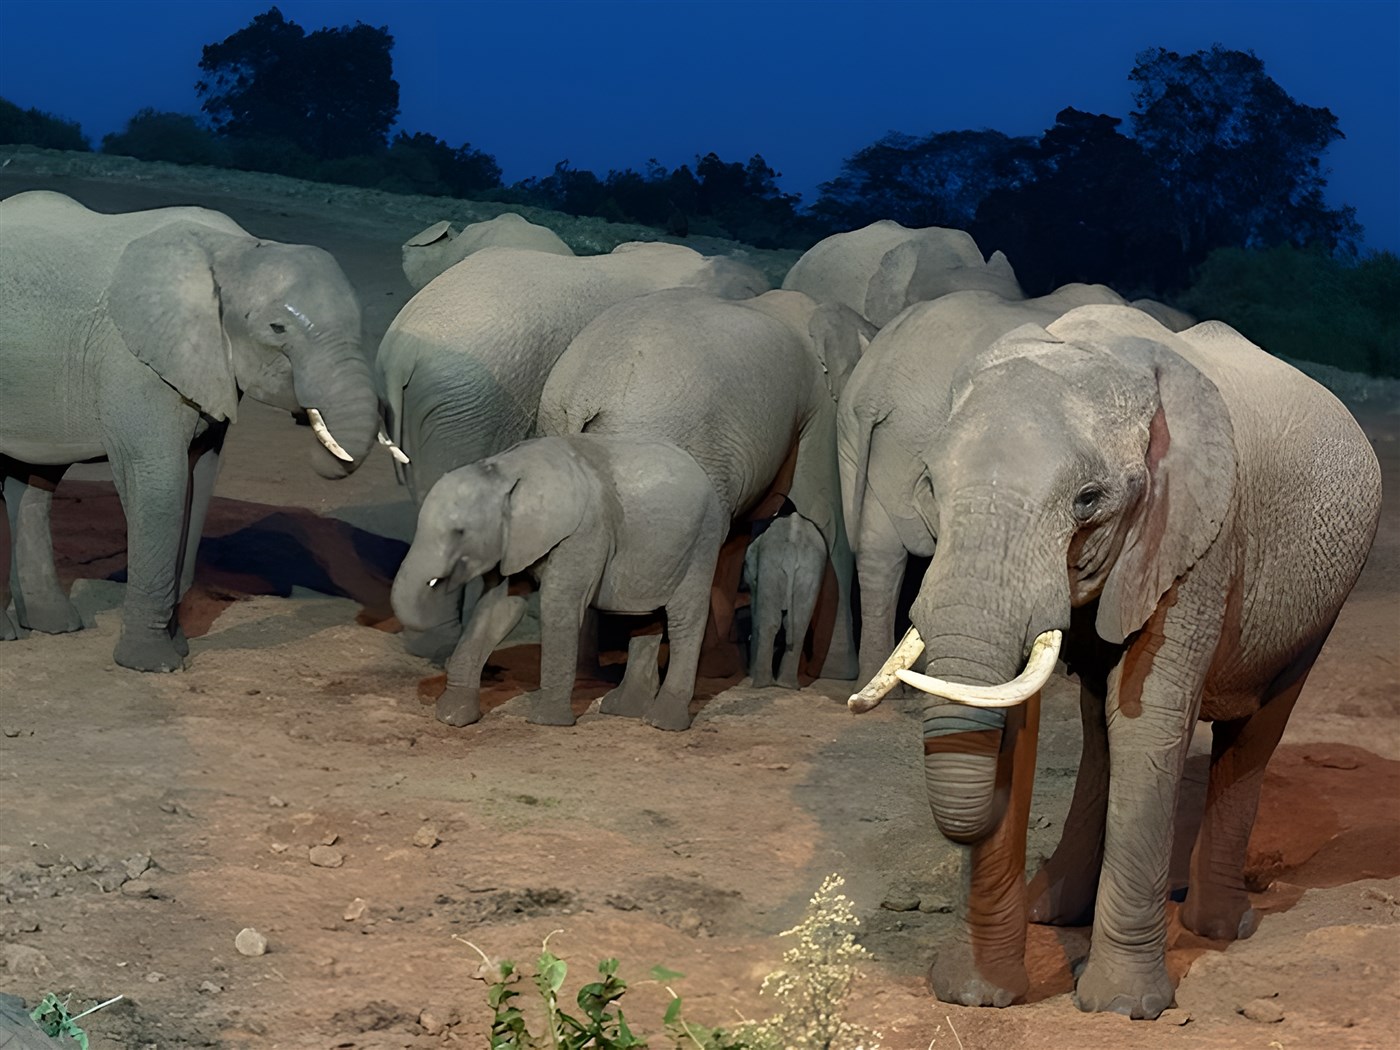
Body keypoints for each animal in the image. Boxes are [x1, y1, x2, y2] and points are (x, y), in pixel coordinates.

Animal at [0, 191, 379, 670]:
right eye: (277, 328)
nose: (311, 426)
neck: (235, 251)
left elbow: (199, 481)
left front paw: (177, 649)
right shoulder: (133, 364)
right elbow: (160, 482)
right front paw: (153, 665)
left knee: (33, 481)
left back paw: (53, 626)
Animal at [391, 435, 726, 731]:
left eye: (459, 532)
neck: (507, 468)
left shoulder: (585, 531)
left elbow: (559, 605)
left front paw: (546, 721)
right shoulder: (514, 540)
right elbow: (499, 609)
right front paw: (451, 717)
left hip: (703, 541)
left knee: (684, 619)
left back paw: (662, 722)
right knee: (643, 617)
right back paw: (623, 710)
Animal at [743, 510, 827, 689]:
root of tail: (792, 545)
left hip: (771, 564)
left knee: (769, 623)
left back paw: (760, 684)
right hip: (811, 570)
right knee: (798, 625)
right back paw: (787, 685)